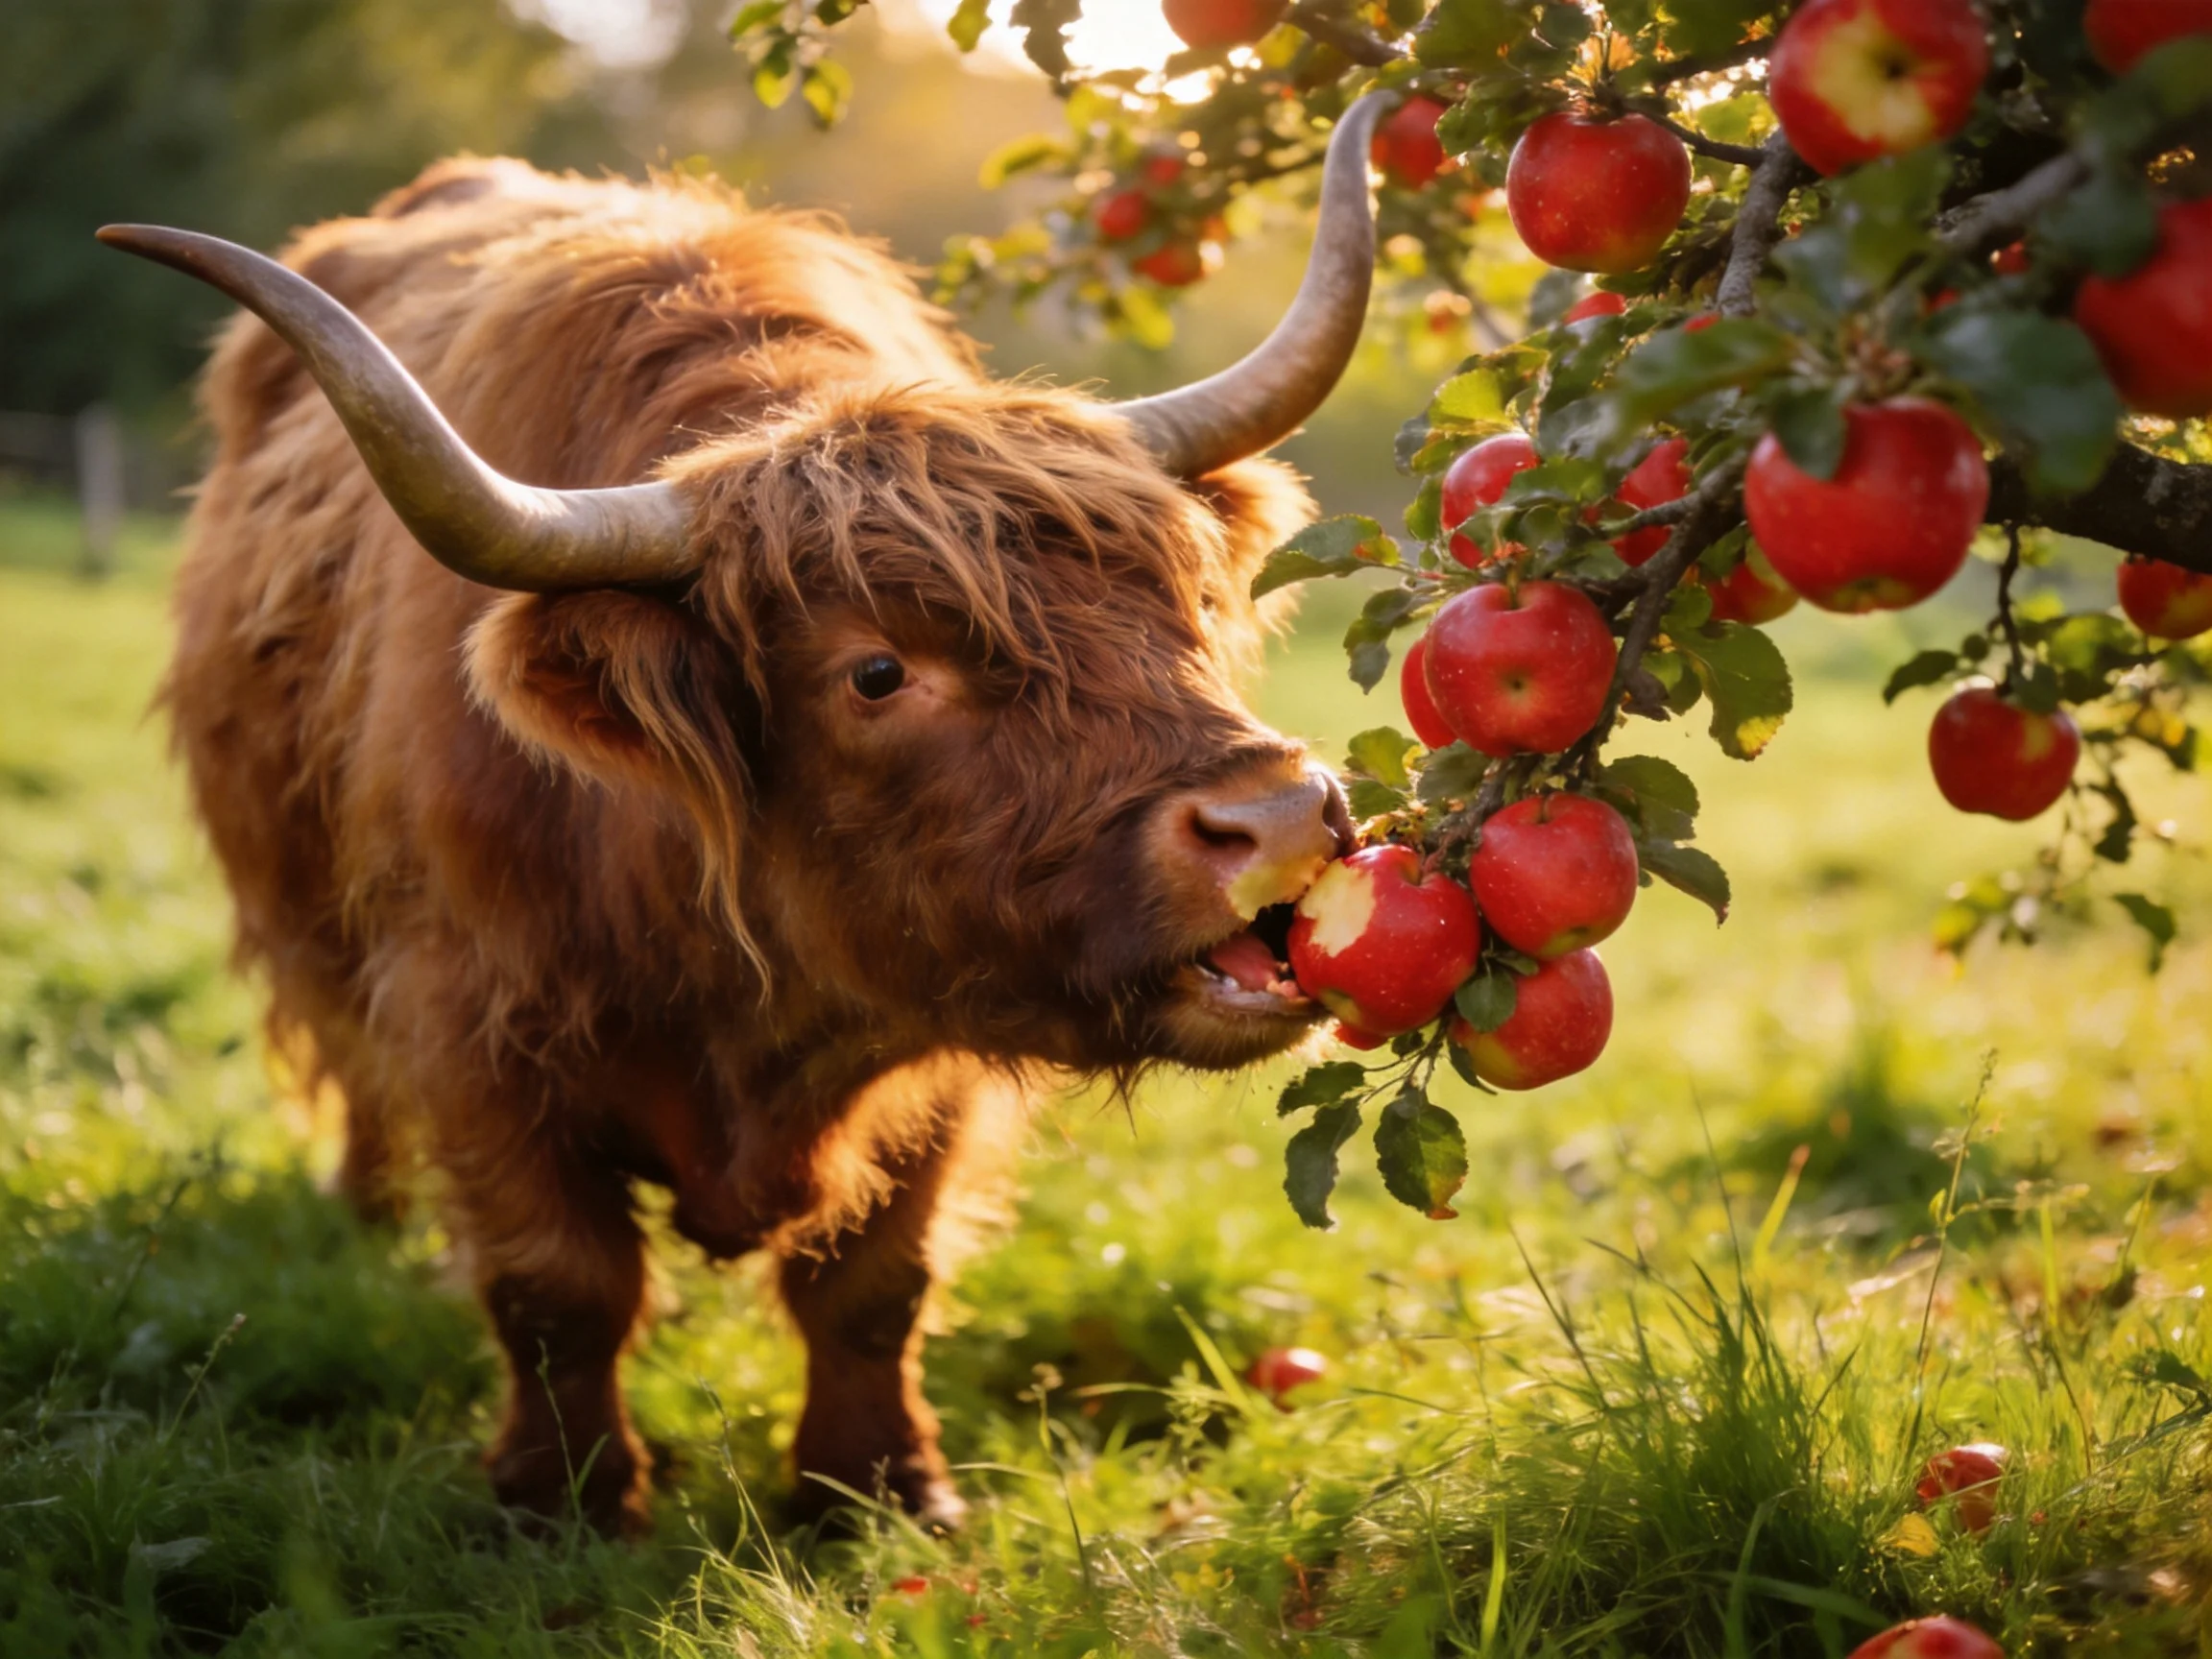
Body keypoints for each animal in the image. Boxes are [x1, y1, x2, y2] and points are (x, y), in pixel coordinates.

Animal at [99, 93, 1389, 1534]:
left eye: (1185, 605)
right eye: (876, 671)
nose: (1281, 816)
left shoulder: (935, 1034)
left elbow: (876, 1283)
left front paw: (878, 1486)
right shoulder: (470, 1016)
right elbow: (559, 1285)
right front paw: (566, 1501)